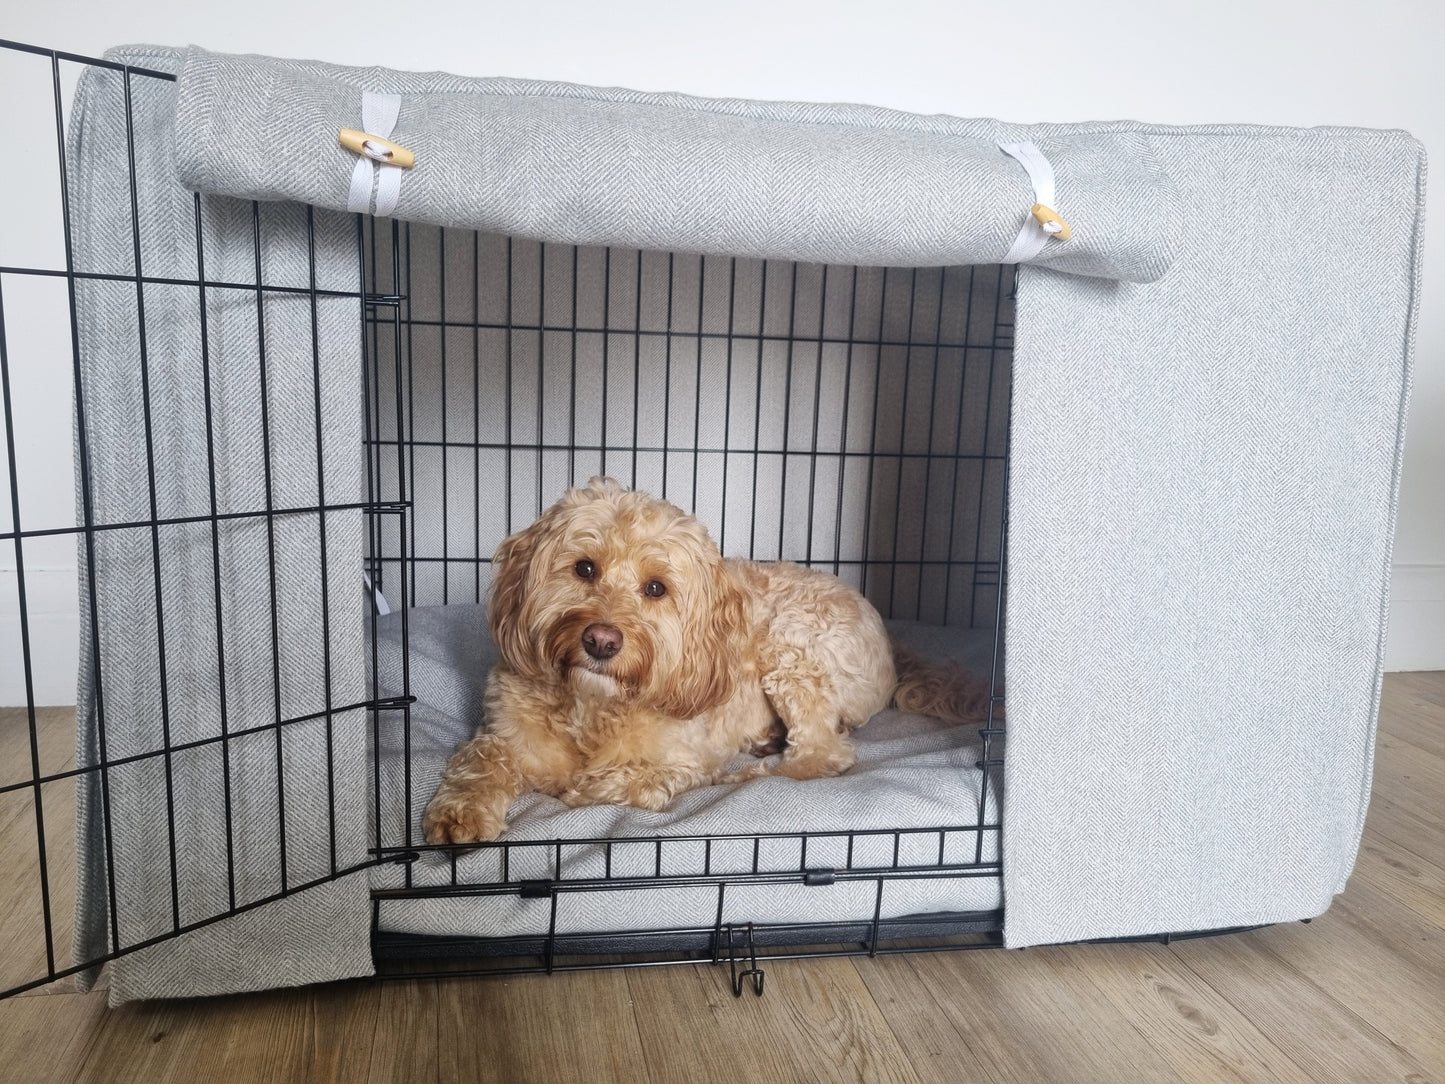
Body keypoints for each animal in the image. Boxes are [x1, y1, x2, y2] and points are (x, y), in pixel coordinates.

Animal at [421, 476, 999, 849]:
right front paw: (460, 814)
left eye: (656, 588)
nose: (601, 640)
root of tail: (890, 635)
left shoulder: (680, 761)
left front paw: (582, 786)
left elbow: (617, 783)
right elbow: (480, 761)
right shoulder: (501, 732)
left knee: (825, 754)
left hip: (792, 648)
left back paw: (760, 768)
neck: (592, 705)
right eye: (584, 568)